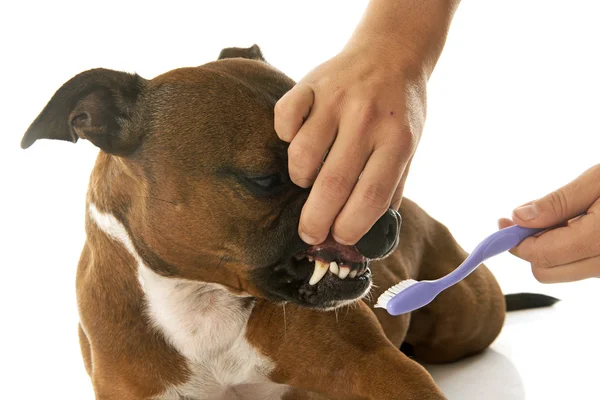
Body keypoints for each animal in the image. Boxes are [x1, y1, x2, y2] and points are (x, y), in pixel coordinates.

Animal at [22, 45, 556, 398]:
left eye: (346, 155)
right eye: (265, 179)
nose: (386, 219)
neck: (200, 302)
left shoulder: (381, 370)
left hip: (465, 318)